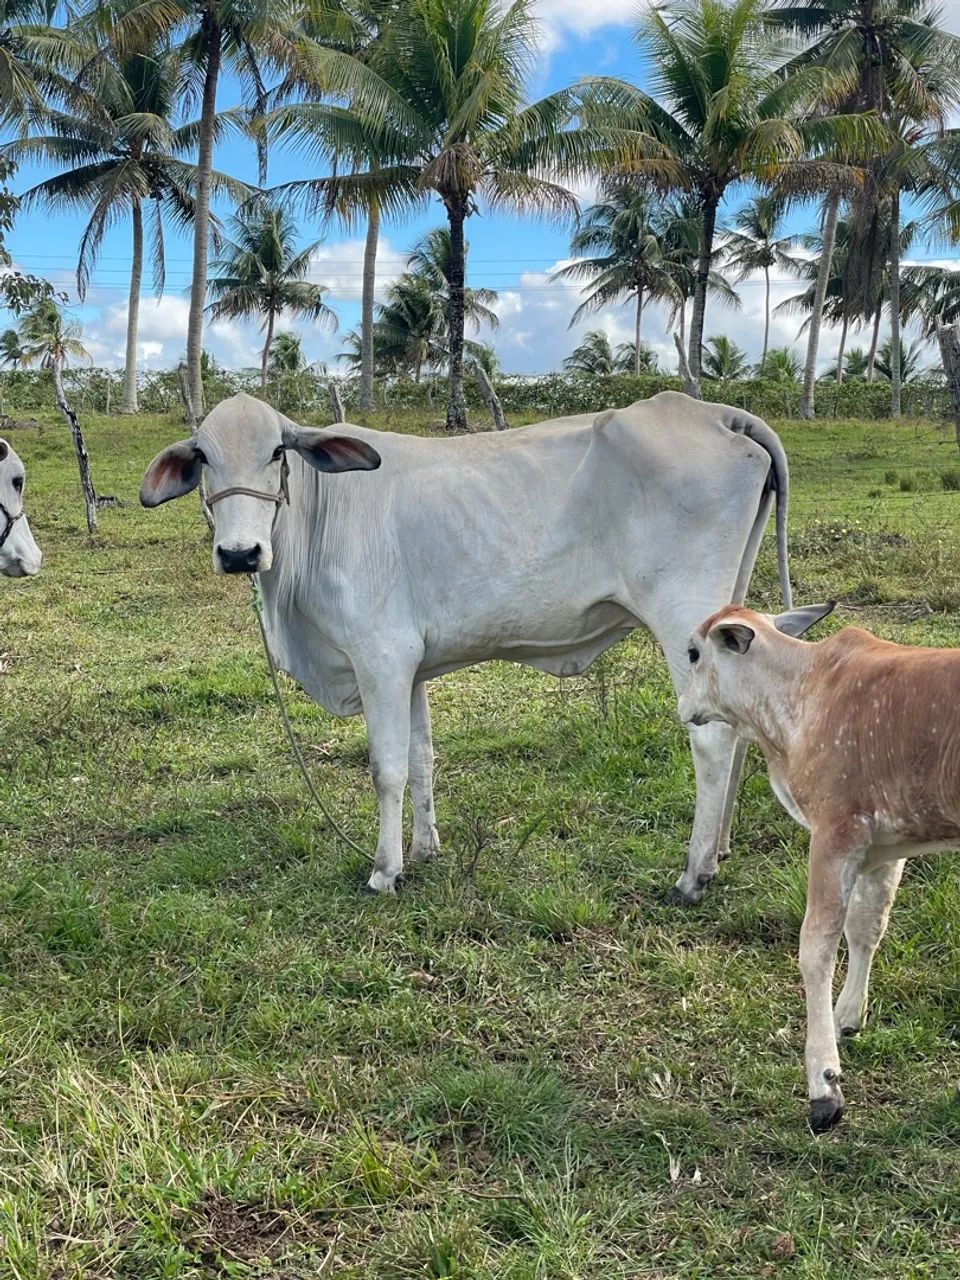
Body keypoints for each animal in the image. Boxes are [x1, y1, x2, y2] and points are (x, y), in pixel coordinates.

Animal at [140, 391, 791, 897]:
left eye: (277, 451)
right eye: (203, 456)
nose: (239, 554)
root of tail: (716, 414)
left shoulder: (380, 656)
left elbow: (387, 767)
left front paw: (385, 871)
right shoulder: (411, 666)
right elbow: (422, 757)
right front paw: (425, 849)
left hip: (682, 618)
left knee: (712, 743)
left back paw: (692, 875)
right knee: (741, 731)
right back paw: (719, 851)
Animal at [678, 600, 960, 1131]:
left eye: (692, 653)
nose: (682, 707)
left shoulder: (836, 833)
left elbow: (816, 947)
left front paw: (824, 1085)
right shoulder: (888, 843)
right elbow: (868, 926)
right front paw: (849, 1016)